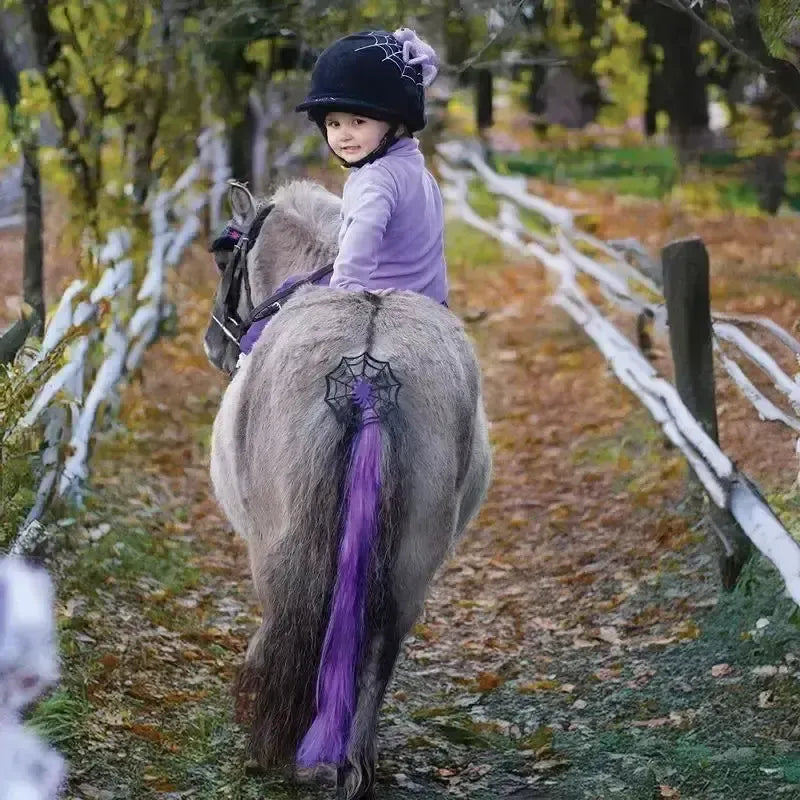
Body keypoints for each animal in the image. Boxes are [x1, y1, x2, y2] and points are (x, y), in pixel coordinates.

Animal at [204, 179, 492, 799]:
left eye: (224, 256)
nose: (215, 344)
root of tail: (368, 364)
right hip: (412, 561)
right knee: (379, 647)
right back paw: (353, 763)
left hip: (281, 547)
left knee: (292, 619)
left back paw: (277, 752)